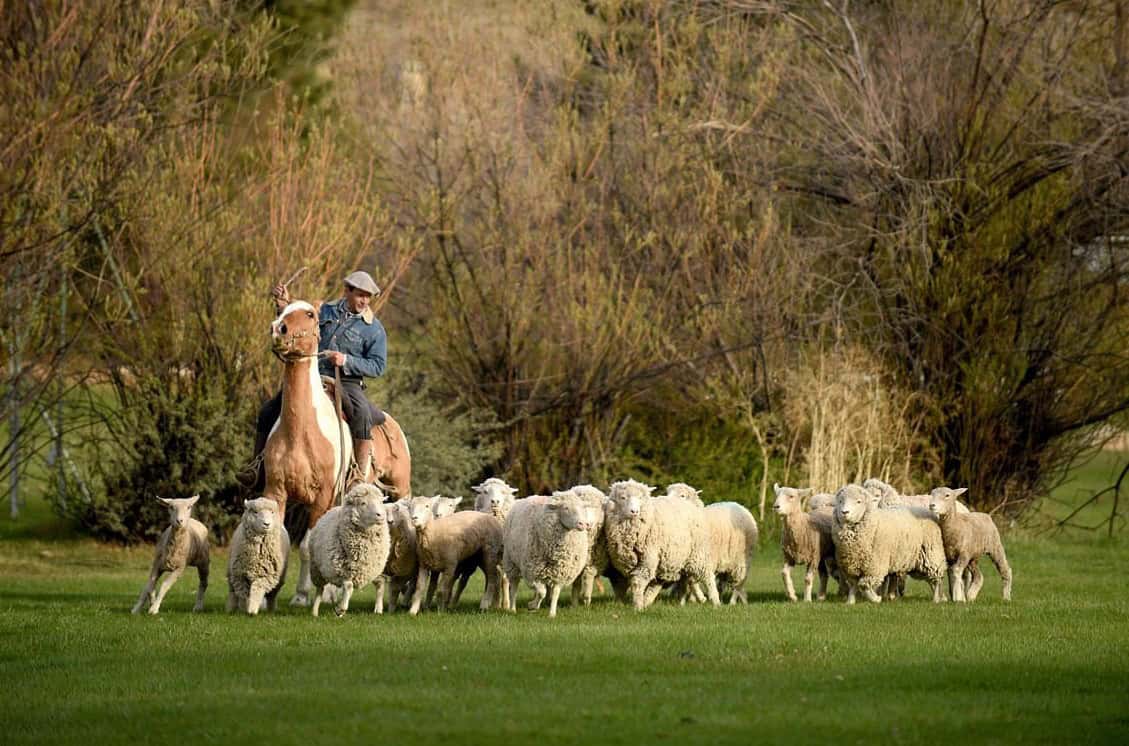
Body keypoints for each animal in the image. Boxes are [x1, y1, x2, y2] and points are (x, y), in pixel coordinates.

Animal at [308, 484, 392, 617]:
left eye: (380, 502)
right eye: (363, 503)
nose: (380, 515)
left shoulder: (369, 568)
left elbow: (378, 584)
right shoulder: (341, 572)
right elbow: (348, 586)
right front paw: (340, 609)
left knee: (379, 583)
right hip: (317, 568)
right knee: (320, 589)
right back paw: (315, 612)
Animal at [603, 479, 720, 610]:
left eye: (640, 497)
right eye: (623, 497)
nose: (635, 511)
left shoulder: (648, 557)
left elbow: (638, 581)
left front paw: (637, 607)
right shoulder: (625, 563)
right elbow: (625, 584)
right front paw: (632, 603)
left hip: (697, 553)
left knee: (707, 576)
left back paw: (715, 601)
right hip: (670, 560)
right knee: (665, 583)